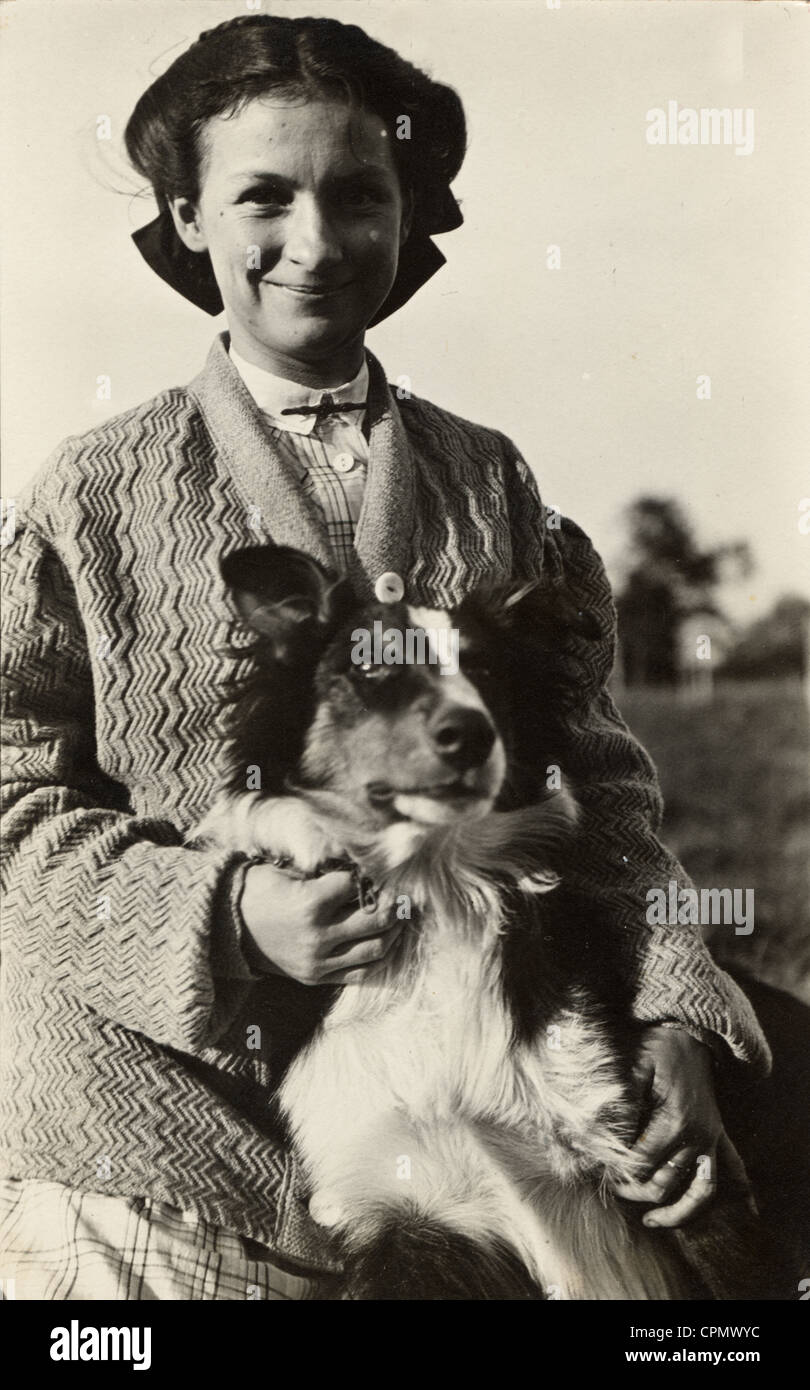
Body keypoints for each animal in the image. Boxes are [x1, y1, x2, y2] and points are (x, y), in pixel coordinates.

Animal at [194, 544, 772, 1301]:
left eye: (487, 671)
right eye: (372, 668)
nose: (469, 734)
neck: (438, 890)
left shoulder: (663, 1168)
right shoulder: (408, 1220)